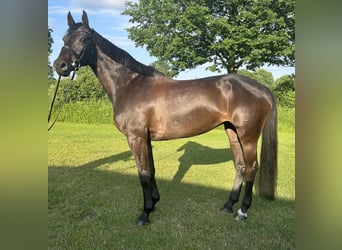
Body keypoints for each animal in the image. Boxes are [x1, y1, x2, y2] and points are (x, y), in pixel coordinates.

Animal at [53, 10, 278, 226]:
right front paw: (154, 203)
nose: (60, 66)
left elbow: (143, 173)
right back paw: (229, 205)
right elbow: (151, 170)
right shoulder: (146, 138)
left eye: (84, 38)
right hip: (232, 132)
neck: (130, 85)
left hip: (248, 136)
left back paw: (242, 211)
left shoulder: (136, 137)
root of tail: (262, 88)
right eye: (64, 38)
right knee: (240, 166)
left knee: (251, 168)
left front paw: (144, 214)